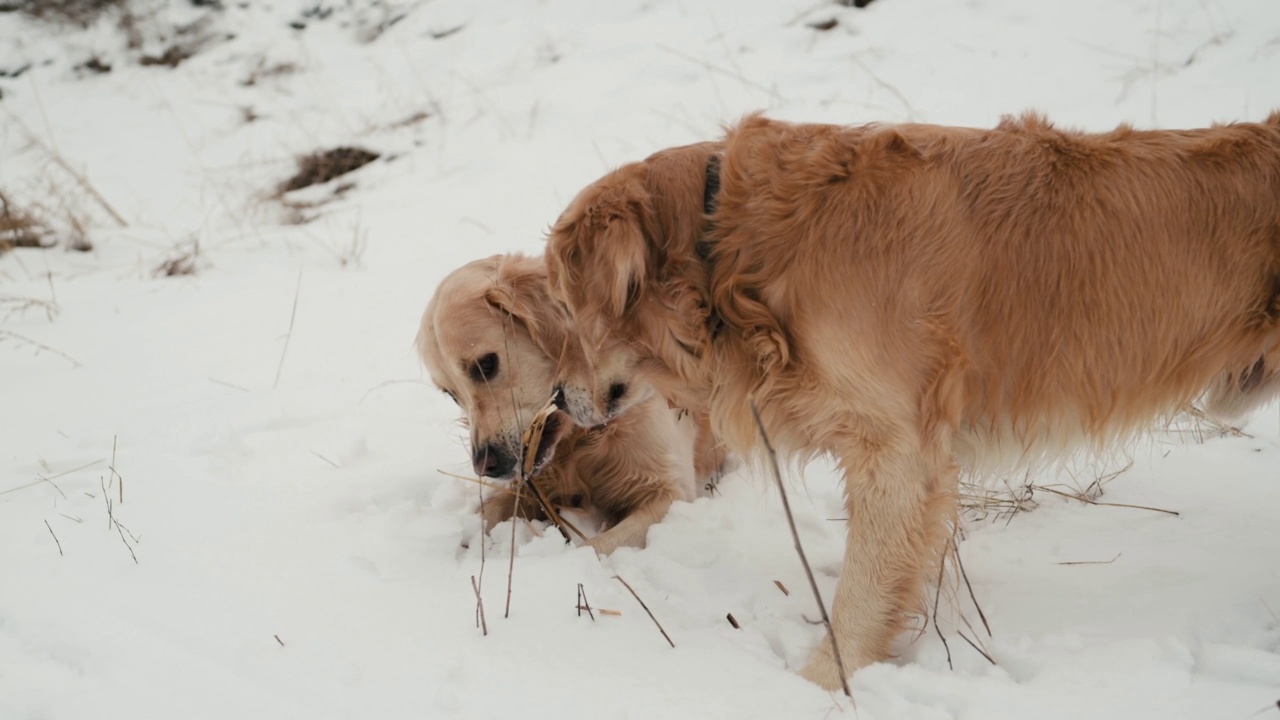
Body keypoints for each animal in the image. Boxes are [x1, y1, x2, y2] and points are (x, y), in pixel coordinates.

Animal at [417, 252, 727, 548]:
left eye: (486, 365)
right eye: (451, 393)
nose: (484, 466)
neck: (580, 438)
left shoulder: (669, 493)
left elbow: (594, 548)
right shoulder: (532, 485)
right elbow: (487, 511)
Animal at [545, 114, 1280, 686]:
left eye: (565, 306)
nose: (555, 396)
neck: (731, 244)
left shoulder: (895, 449)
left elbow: (863, 594)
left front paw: (821, 685)